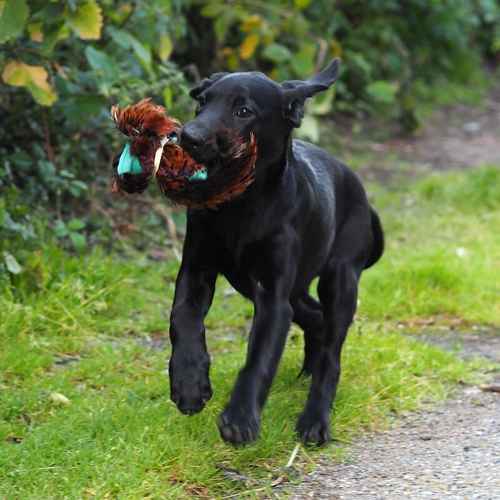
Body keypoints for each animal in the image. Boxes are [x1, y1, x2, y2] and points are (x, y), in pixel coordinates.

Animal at [170, 58, 384, 446]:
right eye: (202, 103)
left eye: (243, 111)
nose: (188, 135)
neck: (241, 205)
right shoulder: (197, 270)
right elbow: (183, 320)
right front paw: (189, 384)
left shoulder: (272, 297)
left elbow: (260, 358)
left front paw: (240, 417)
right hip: (289, 287)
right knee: (315, 319)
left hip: (340, 279)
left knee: (332, 354)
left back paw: (315, 420)